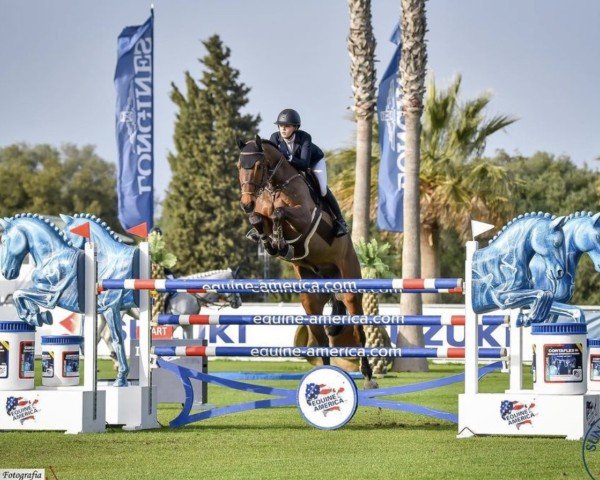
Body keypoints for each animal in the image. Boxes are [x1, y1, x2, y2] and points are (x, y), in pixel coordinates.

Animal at [238, 135, 376, 390]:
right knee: (321, 340)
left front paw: (280, 242)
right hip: (311, 302)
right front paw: (271, 243)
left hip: (351, 289)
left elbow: (279, 213)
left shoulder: (304, 217)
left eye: (258, 166)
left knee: (359, 332)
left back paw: (369, 376)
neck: (276, 187)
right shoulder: (261, 214)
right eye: (239, 166)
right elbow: (259, 219)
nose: (246, 203)